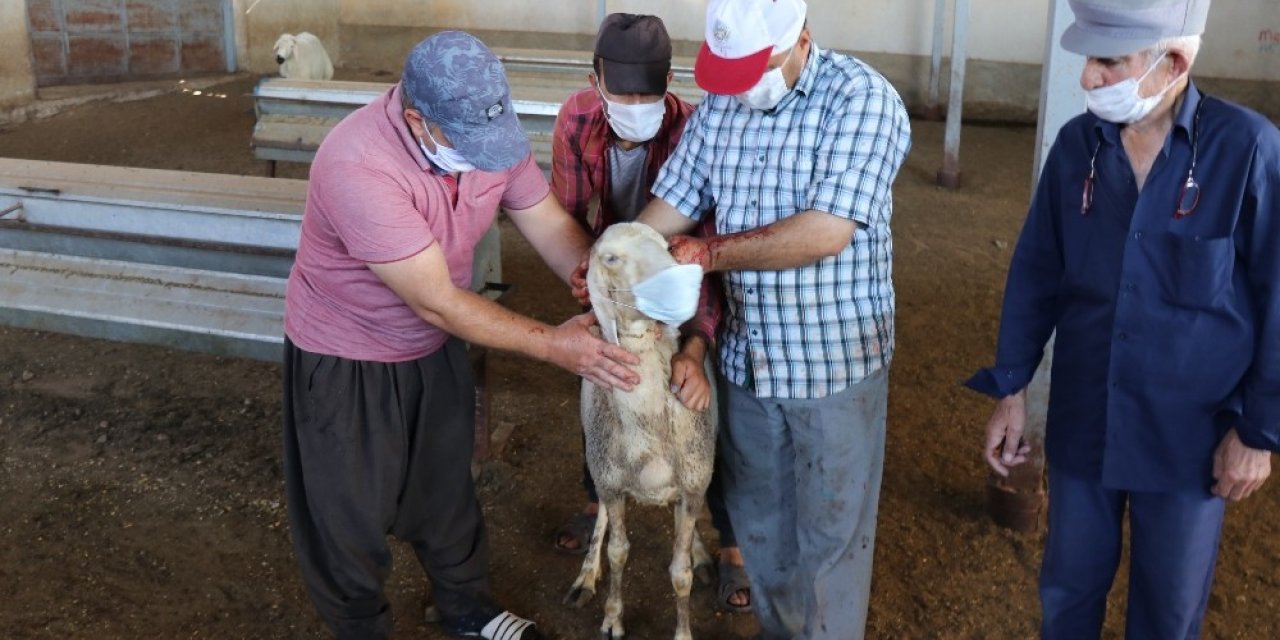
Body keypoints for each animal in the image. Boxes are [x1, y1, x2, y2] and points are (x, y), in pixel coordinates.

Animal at [570, 221, 721, 640]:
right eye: (610, 258)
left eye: (668, 246)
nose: (685, 281)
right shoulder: (611, 483)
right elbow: (618, 552)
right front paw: (612, 618)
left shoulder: (693, 484)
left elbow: (680, 573)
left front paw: (683, 632)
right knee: (601, 520)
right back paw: (586, 574)